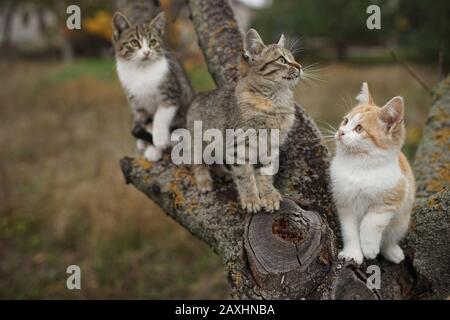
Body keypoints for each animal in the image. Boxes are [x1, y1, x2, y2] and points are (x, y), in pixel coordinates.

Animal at [112, 11, 193, 161]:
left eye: (153, 42)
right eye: (134, 43)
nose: (147, 52)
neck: (141, 70)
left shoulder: (171, 91)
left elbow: (161, 116)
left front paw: (159, 140)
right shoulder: (138, 105)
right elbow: (148, 122)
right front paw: (153, 148)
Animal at [186, 29, 302, 212]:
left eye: (294, 59)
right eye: (282, 60)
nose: (299, 66)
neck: (274, 101)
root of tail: (198, 96)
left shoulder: (269, 146)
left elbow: (265, 174)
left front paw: (268, 196)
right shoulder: (238, 146)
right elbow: (245, 175)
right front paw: (251, 199)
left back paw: (224, 173)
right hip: (199, 144)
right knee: (198, 162)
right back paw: (204, 180)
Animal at [330, 82, 414, 264]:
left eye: (359, 128)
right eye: (345, 121)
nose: (341, 132)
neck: (359, 165)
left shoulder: (392, 197)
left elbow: (371, 221)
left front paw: (369, 247)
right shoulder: (345, 203)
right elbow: (350, 231)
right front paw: (353, 253)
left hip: (402, 220)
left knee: (390, 237)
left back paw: (392, 251)